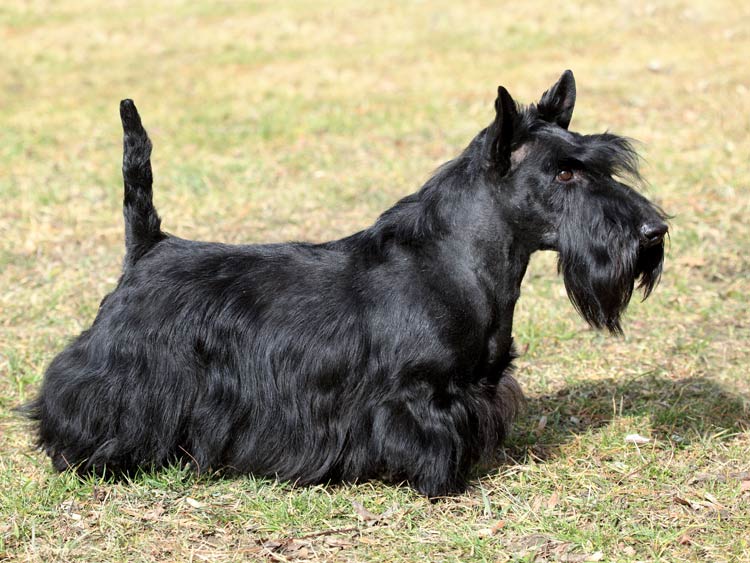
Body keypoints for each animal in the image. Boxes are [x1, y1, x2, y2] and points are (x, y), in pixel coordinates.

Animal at [23, 71, 668, 498]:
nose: (654, 231)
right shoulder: (418, 394)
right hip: (123, 374)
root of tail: (149, 247)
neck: (460, 259)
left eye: (599, 165)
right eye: (562, 173)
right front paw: (442, 482)